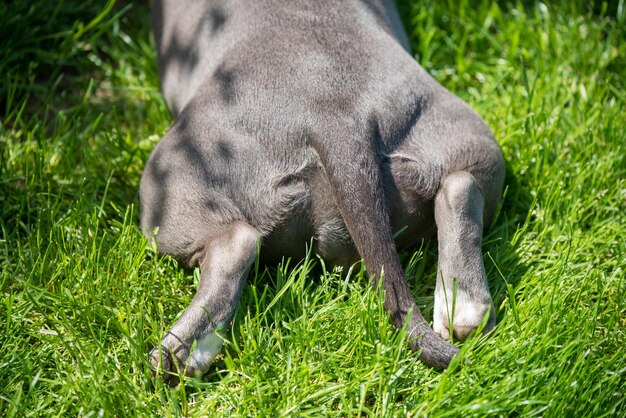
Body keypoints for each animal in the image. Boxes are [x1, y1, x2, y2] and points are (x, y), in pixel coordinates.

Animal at [140, 0, 502, 378]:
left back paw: (176, 356)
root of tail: (336, 118)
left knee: (234, 244)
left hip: (169, 183)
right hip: (461, 132)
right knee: (460, 185)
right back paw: (465, 310)